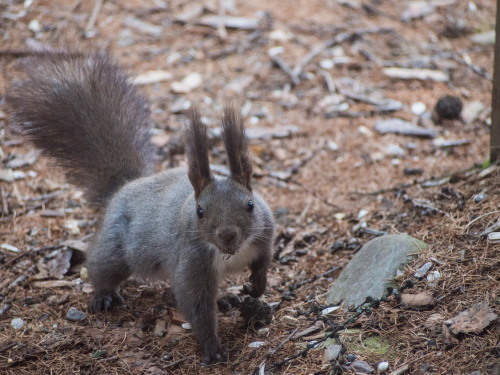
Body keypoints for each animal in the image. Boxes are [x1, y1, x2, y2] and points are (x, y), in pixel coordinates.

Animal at [6, 51, 274, 366]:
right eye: (200, 211)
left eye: (250, 205)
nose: (228, 235)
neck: (228, 253)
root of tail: (125, 186)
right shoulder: (192, 261)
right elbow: (195, 305)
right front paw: (212, 347)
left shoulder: (265, 234)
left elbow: (263, 263)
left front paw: (256, 287)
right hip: (116, 248)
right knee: (101, 267)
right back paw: (103, 295)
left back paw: (226, 298)